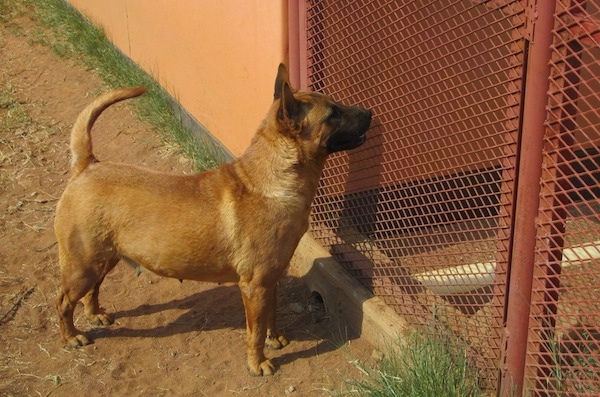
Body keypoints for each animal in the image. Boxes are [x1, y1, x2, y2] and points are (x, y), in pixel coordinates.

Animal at [54, 63, 370, 372]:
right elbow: (255, 331)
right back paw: (71, 337)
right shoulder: (254, 286)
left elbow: (272, 314)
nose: (369, 112)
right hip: (83, 265)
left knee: (91, 292)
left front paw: (275, 338)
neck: (270, 181)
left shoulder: (270, 280)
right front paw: (258, 363)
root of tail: (87, 166)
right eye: (333, 113)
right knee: (63, 302)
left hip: (103, 260)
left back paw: (95, 315)